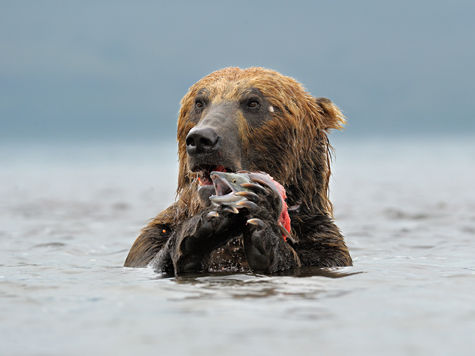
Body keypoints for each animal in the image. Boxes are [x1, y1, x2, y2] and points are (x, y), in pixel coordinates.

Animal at [124, 67, 352, 274]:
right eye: (199, 102)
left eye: (253, 102)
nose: (201, 139)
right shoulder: (149, 242)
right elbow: (154, 256)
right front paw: (203, 228)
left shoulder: (324, 245)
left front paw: (263, 221)